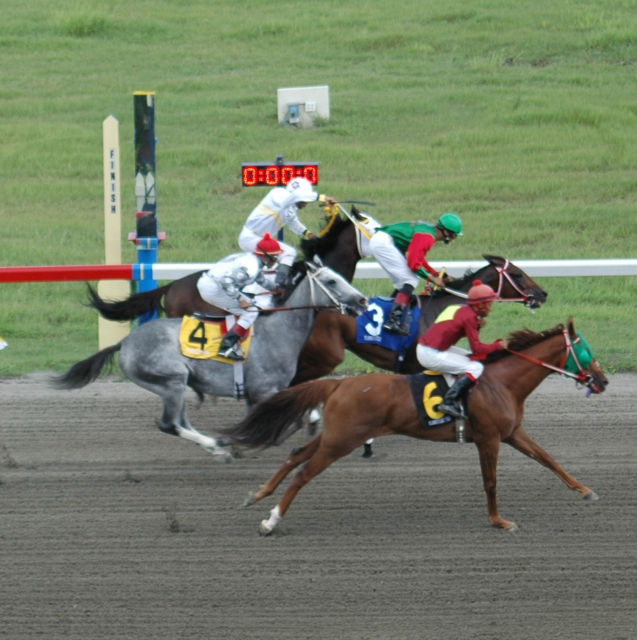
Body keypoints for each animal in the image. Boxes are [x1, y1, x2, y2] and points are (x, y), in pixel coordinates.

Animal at [222, 318, 608, 536]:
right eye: (586, 352)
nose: (602, 380)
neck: (502, 383)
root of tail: (339, 383)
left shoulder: (512, 433)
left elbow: (547, 458)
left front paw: (585, 490)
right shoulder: (489, 438)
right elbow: (491, 482)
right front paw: (499, 522)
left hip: (336, 436)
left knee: (294, 454)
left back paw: (257, 495)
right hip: (341, 440)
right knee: (303, 473)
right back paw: (271, 522)